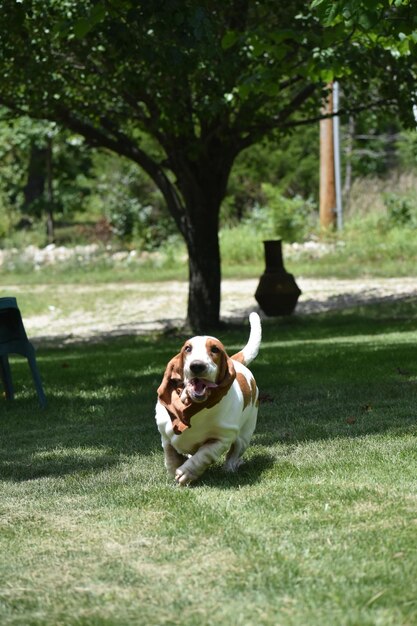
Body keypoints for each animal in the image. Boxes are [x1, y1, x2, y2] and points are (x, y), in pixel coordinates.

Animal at [154, 310, 262, 482]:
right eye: (187, 348)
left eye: (215, 349)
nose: (197, 366)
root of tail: (236, 362)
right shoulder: (165, 434)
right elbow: (171, 455)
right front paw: (174, 470)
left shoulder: (221, 439)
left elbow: (204, 455)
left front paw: (186, 473)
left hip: (245, 434)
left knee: (235, 452)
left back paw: (230, 468)